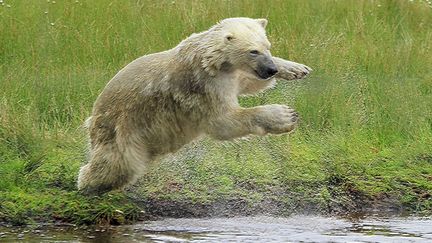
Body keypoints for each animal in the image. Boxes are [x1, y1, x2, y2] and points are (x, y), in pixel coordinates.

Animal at [77, 17, 310, 195]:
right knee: (118, 164)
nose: (270, 69)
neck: (214, 60)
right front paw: (285, 115)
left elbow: (249, 84)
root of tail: (94, 116)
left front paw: (296, 68)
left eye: (267, 47)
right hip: (122, 129)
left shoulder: (231, 76)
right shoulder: (204, 83)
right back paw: (88, 183)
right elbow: (222, 122)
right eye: (253, 51)